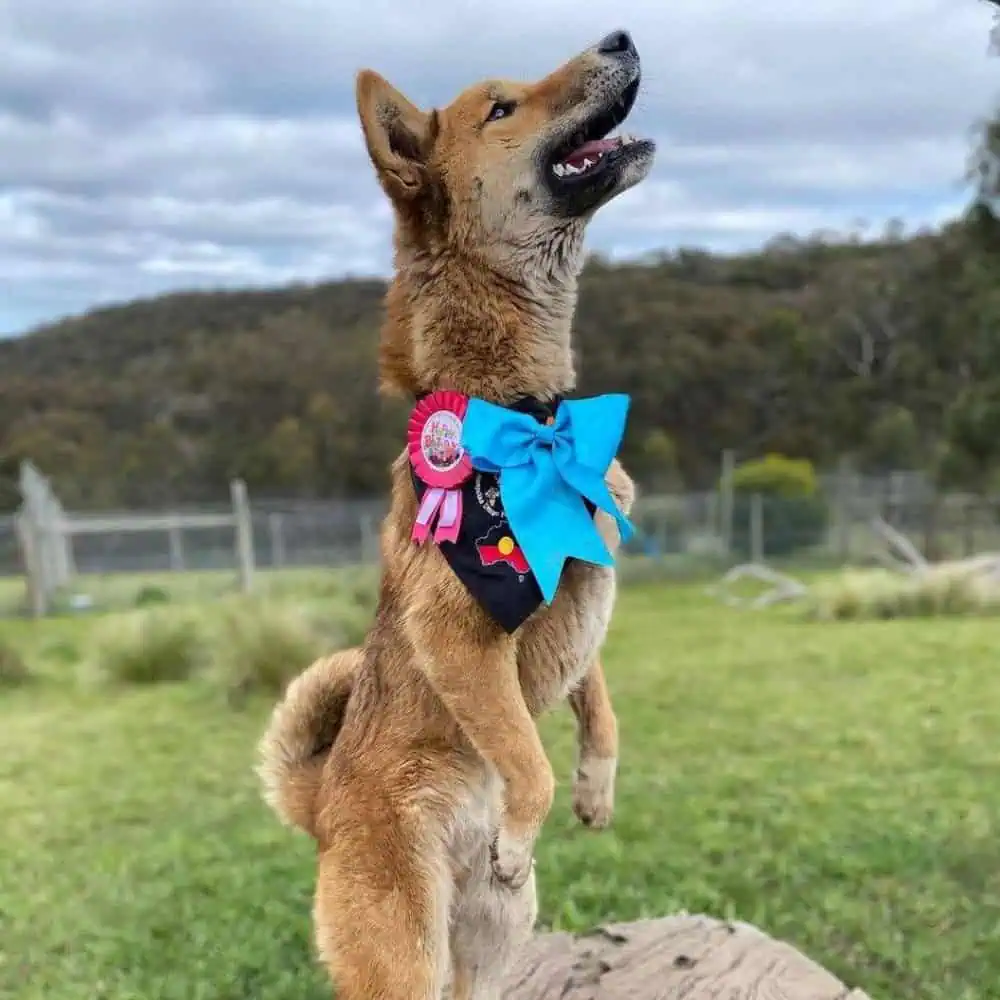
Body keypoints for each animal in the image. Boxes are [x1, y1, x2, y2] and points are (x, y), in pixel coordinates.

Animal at [258, 28, 654, 1000]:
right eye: (502, 107)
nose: (622, 36)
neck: (527, 415)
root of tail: (323, 805)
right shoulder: (460, 638)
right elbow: (525, 757)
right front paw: (530, 814)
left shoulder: (583, 591)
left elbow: (597, 705)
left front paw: (596, 790)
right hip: (403, 953)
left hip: (494, 938)